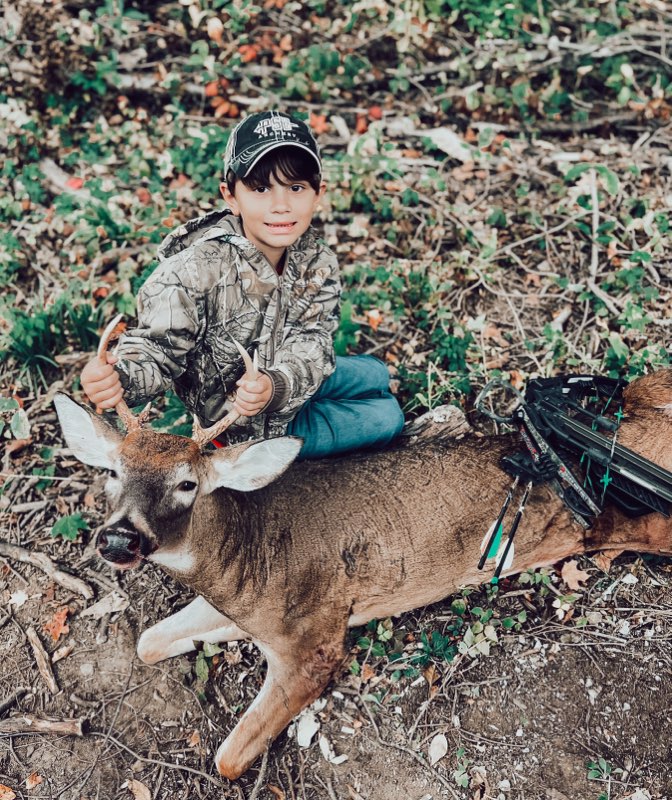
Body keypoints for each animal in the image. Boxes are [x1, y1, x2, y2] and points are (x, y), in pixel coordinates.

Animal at [53, 325, 672, 780]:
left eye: (187, 483)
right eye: (113, 471)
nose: (118, 538)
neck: (244, 558)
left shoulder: (316, 642)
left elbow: (227, 759)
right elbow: (147, 642)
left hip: (612, 521)